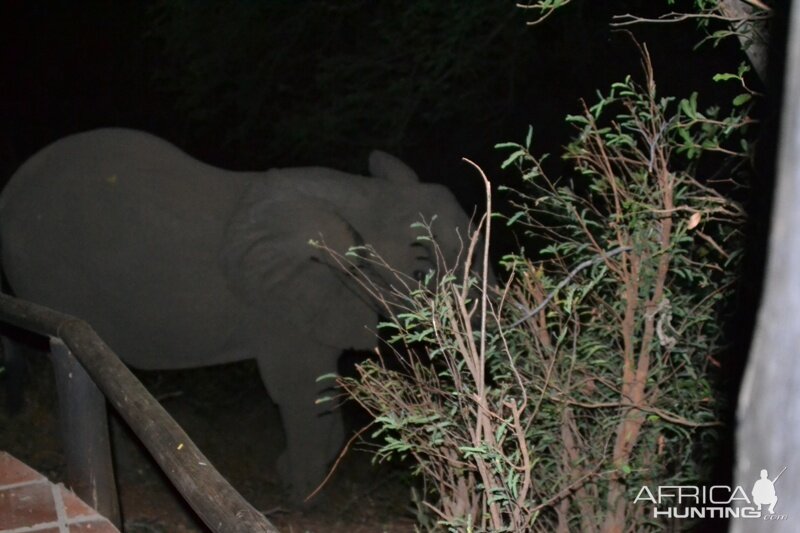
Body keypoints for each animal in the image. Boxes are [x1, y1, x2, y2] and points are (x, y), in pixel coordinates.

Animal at [0, 129, 478, 502]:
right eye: (421, 273)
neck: (359, 197)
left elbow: (321, 388)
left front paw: (292, 479)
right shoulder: (280, 305)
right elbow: (298, 391)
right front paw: (301, 497)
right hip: (48, 270)